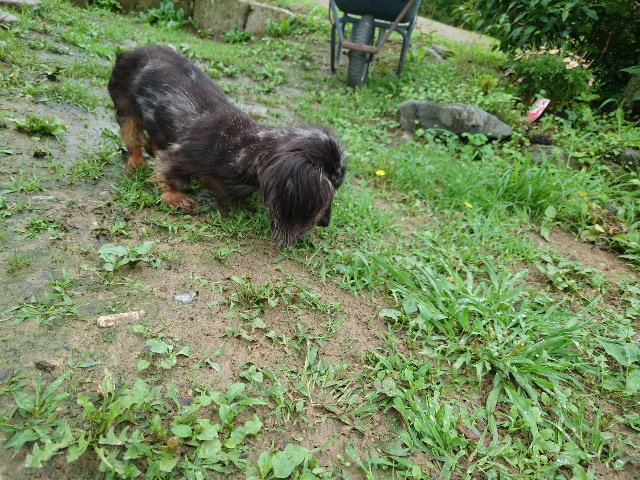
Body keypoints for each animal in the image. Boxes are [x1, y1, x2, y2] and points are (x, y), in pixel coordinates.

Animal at [107, 45, 346, 247]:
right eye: (325, 196)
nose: (325, 223)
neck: (249, 146)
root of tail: (133, 52)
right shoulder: (184, 156)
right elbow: (170, 173)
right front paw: (174, 196)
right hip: (126, 109)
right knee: (133, 140)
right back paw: (136, 163)